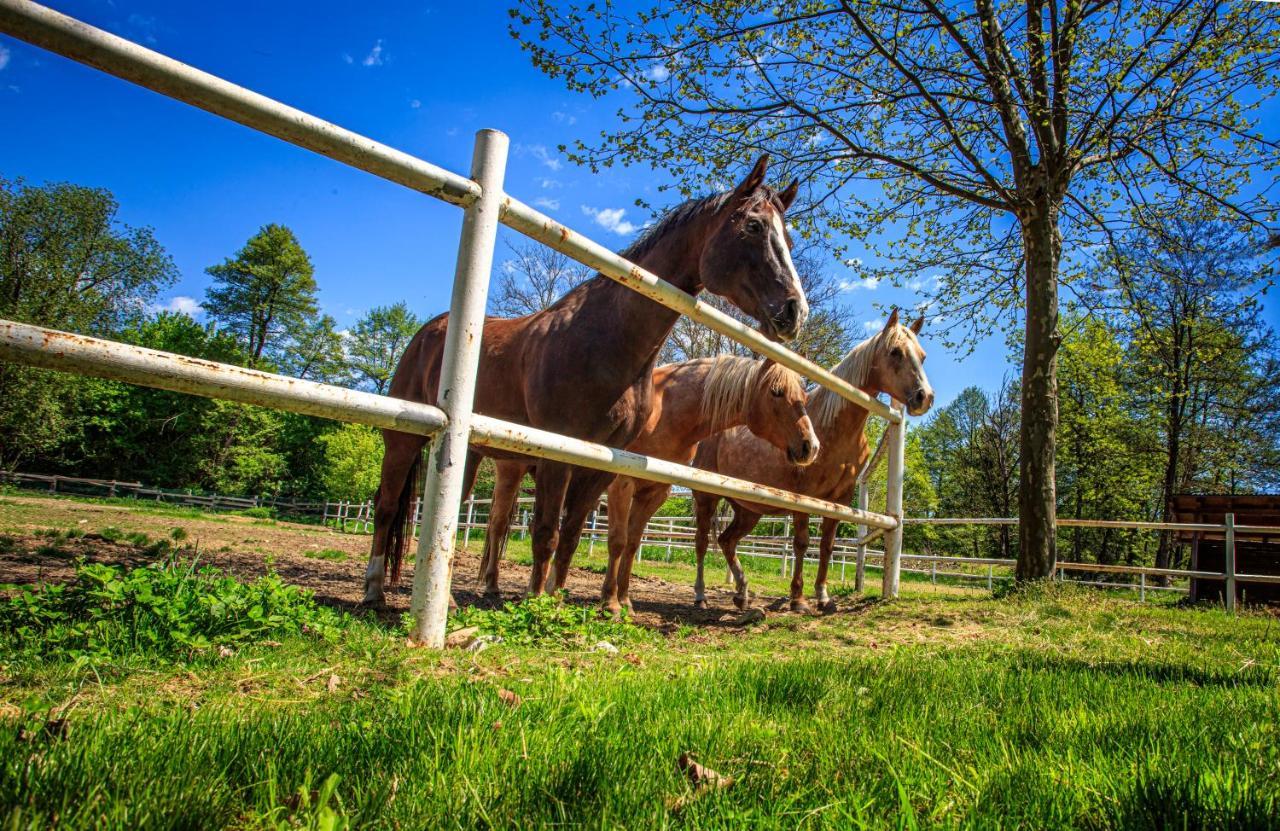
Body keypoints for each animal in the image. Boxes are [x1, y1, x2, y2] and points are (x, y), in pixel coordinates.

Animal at [366, 153, 808, 601]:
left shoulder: (602, 462)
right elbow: (546, 533)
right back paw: (376, 589)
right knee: (387, 506)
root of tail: (428, 333)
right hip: (403, 439)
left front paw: (560, 602)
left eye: (788, 241)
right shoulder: (558, 453)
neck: (603, 338)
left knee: (464, 517)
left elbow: (573, 537)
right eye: (753, 226)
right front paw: (537, 603)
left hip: (476, 454)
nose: (795, 311)